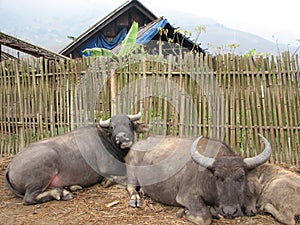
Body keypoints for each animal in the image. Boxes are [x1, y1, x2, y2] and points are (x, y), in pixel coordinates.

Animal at [4, 111, 150, 205]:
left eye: (129, 123)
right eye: (112, 127)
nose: (122, 138)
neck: (107, 140)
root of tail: (10, 166)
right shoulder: (108, 168)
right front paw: (107, 181)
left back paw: (69, 188)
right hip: (41, 174)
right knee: (28, 198)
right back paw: (61, 193)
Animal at [126, 134, 272, 224]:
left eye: (241, 176)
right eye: (217, 176)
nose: (229, 211)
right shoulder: (185, 196)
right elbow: (205, 217)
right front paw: (184, 212)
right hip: (132, 173)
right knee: (130, 186)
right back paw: (135, 198)